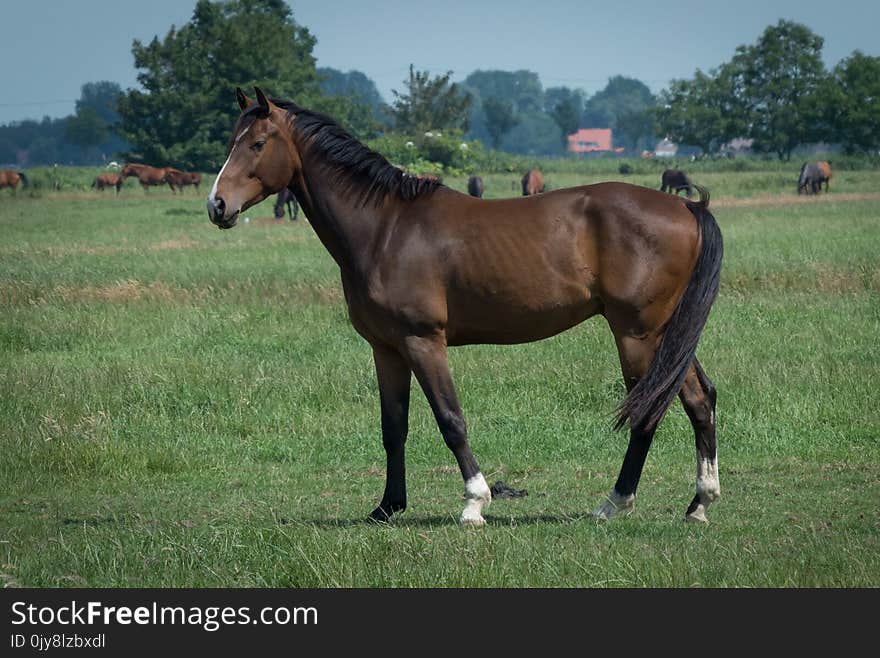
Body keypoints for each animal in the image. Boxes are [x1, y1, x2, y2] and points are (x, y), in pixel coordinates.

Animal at [210, 89, 724, 524]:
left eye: (257, 143)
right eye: (233, 141)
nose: (217, 205)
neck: (385, 229)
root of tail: (687, 208)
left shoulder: (423, 341)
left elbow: (450, 419)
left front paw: (475, 503)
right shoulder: (387, 348)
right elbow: (393, 427)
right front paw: (387, 507)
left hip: (636, 334)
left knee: (648, 412)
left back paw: (614, 502)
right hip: (664, 334)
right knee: (700, 398)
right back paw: (699, 503)